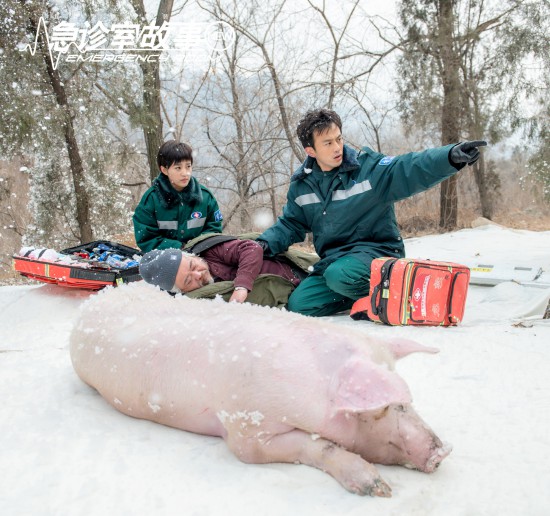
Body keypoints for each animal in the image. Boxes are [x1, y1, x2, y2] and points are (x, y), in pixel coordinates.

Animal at [70, 282, 452, 496]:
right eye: (391, 406)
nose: (443, 451)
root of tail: (95, 300)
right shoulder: (246, 427)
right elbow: (313, 445)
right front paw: (379, 489)